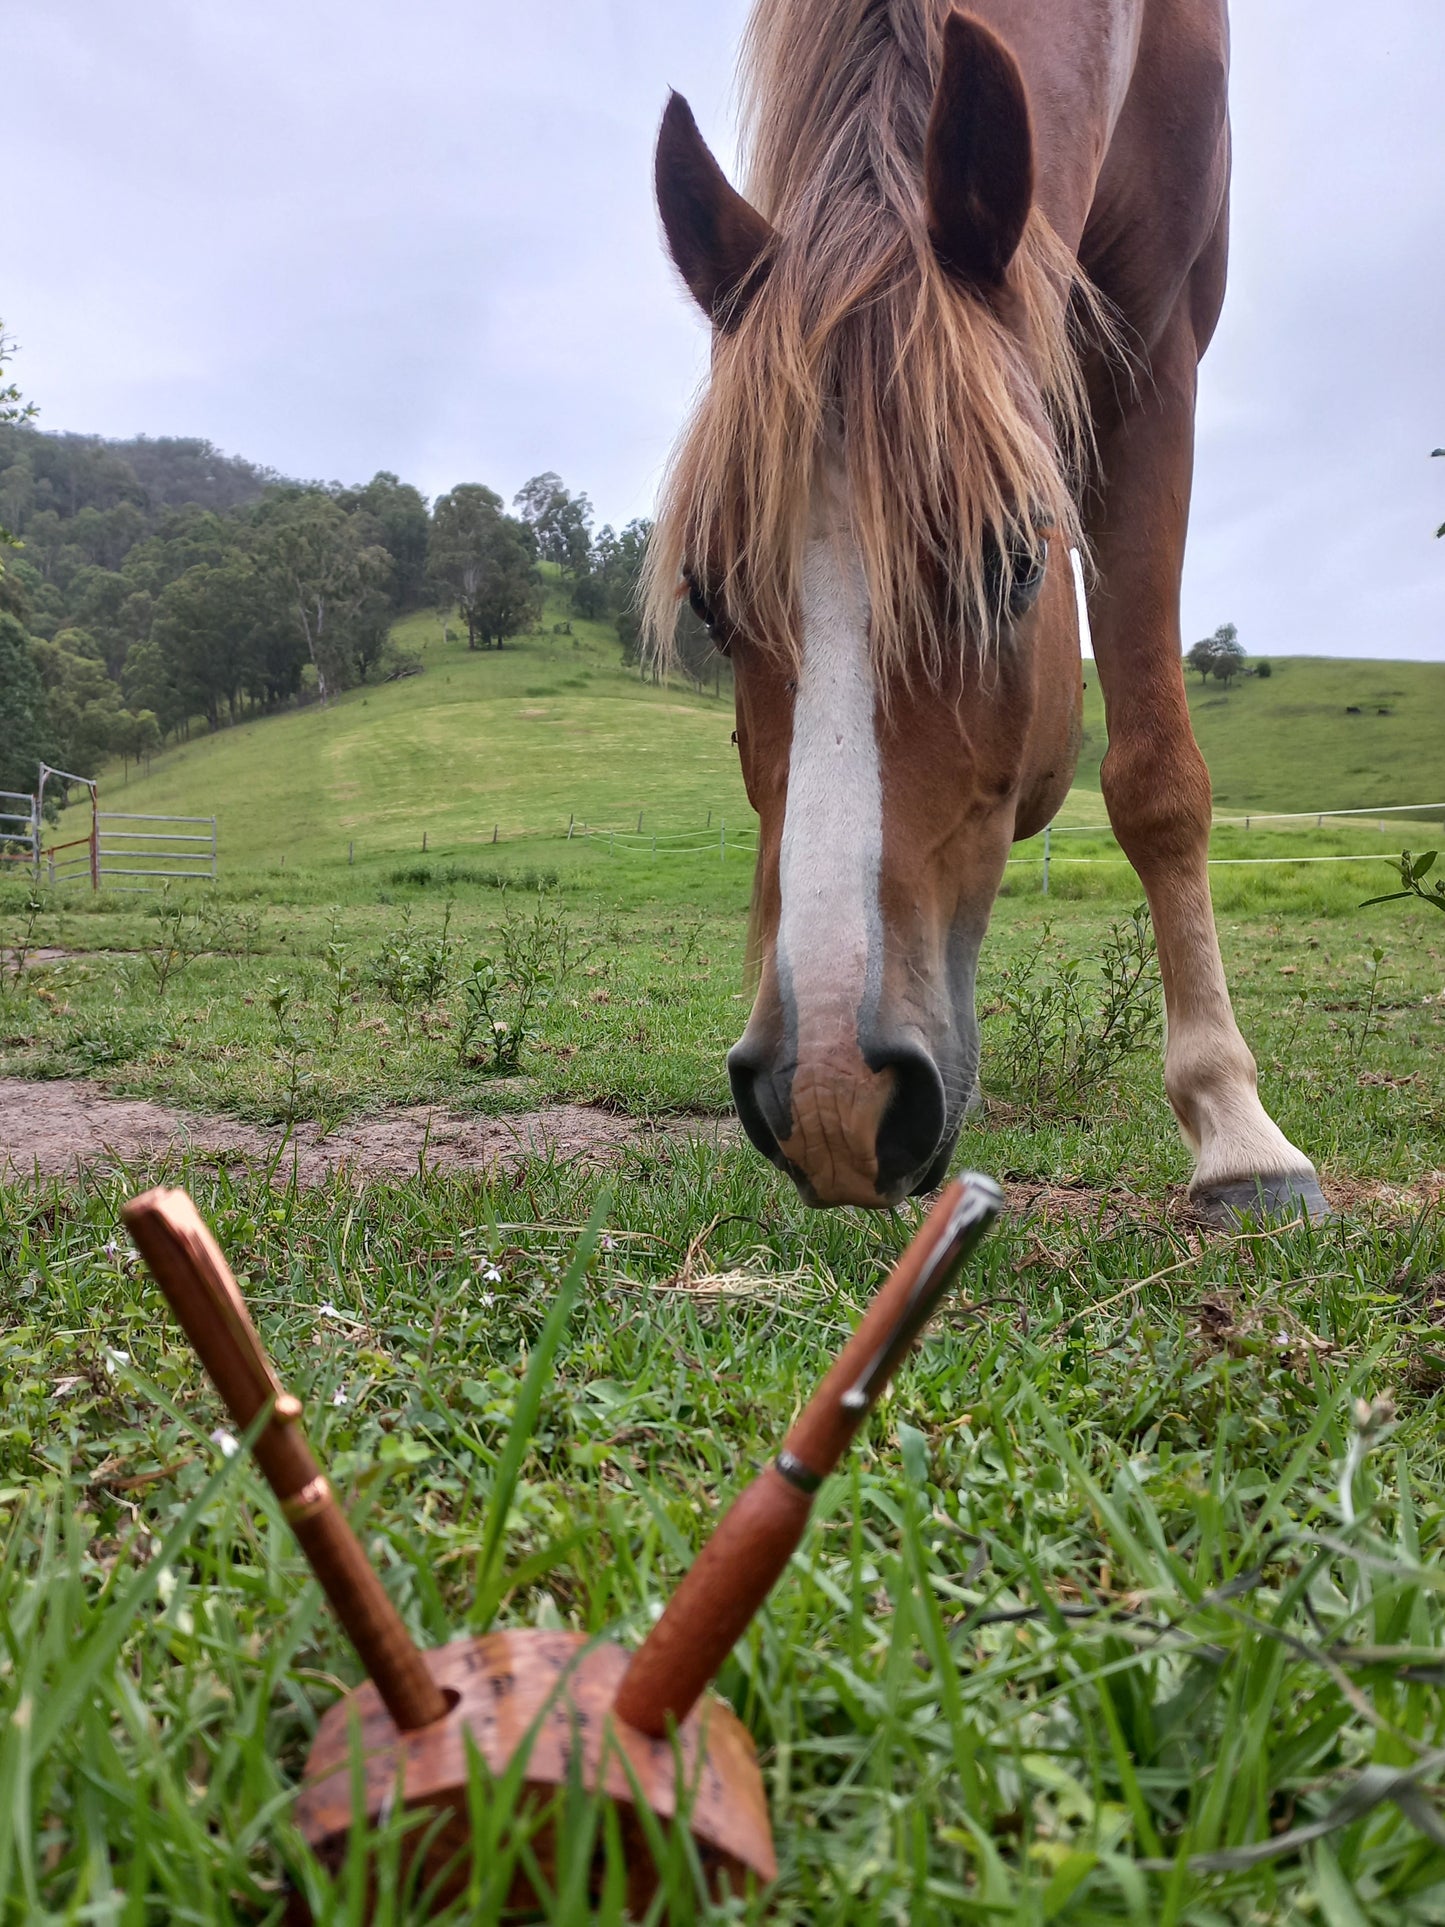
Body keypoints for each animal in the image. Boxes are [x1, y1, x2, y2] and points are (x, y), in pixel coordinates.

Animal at [651, 0, 1333, 1217]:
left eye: (1012, 563)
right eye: (710, 597)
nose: (831, 1093)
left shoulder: (1157, 337)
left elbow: (1157, 777)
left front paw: (1239, 1131)